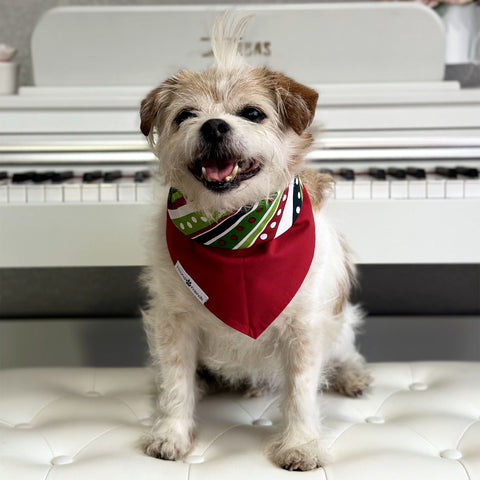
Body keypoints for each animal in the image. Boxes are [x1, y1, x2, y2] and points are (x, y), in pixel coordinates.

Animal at [139, 13, 372, 470]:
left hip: (338, 323)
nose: (213, 125)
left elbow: (300, 391)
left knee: (344, 349)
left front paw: (300, 444)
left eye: (252, 113)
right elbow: (175, 382)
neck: (235, 235)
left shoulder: (305, 328)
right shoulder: (173, 322)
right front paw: (171, 433)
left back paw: (352, 375)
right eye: (185, 115)